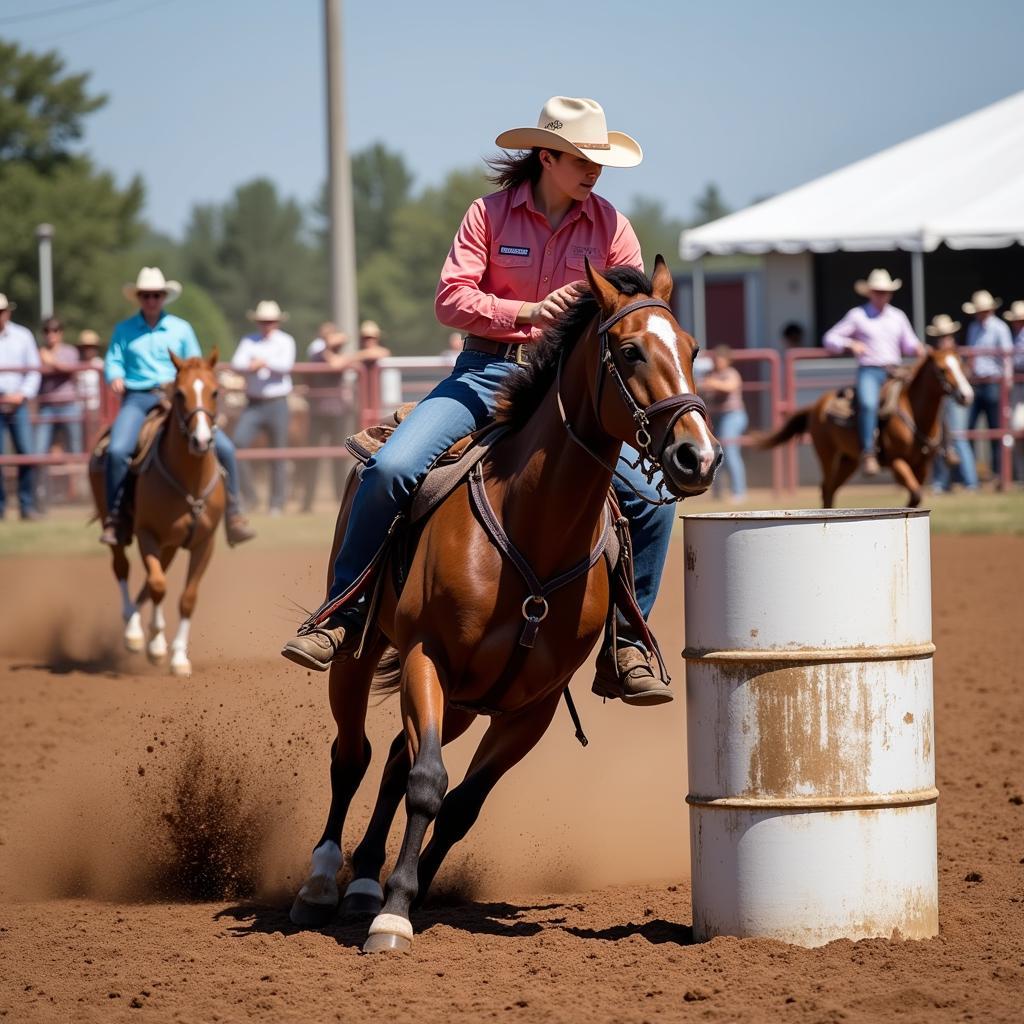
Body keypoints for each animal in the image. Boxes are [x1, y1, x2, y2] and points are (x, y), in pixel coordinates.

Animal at [88, 352, 226, 679]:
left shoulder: (204, 543)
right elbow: (158, 585)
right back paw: (133, 630)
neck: (189, 481)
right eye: (180, 393)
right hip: (118, 529)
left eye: (215, 392)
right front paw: (156, 646)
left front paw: (178, 658)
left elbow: (187, 598)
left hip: (172, 544)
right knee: (123, 568)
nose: (201, 441)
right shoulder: (147, 534)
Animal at [288, 256, 720, 950]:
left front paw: (405, 895)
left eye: (692, 348)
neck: (533, 529)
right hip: (362, 651)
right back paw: (323, 882)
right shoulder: (427, 658)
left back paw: (363, 882)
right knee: (353, 755)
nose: (697, 455)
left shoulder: (531, 707)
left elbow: (460, 803)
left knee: (393, 759)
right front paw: (393, 917)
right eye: (629, 351)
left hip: (466, 702)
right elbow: (429, 784)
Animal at [761, 348, 974, 507]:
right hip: (826, 454)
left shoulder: (922, 466)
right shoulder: (896, 461)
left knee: (832, 489)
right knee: (826, 488)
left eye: (961, 366)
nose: (966, 395)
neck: (914, 414)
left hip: (849, 461)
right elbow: (915, 494)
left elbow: (916, 496)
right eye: (942, 369)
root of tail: (816, 406)